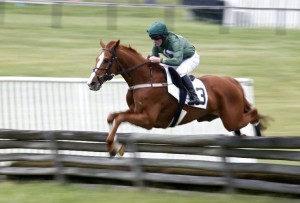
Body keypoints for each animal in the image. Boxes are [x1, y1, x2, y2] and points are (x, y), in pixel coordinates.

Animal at [86, 39, 268, 157]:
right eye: (96, 59)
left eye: (106, 60)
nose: (91, 83)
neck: (144, 78)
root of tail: (232, 81)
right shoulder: (135, 111)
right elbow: (113, 116)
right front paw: (115, 146)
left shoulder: (148, 119)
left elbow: (119, 118)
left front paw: (112, 147)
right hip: (229, 118)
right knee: (243, 122)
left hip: (231, 118)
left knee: (253, 113)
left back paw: (257, 133)